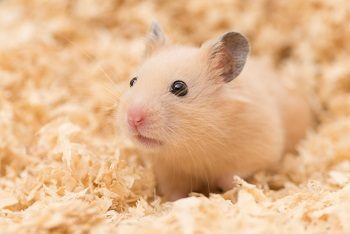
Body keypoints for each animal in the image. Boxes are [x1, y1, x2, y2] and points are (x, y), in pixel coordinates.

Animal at [116, 22, 314, 201]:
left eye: (179, 87)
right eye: (133, 81)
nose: (133, 118)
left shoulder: (258, 151)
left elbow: (233, 177)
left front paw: (233, 195)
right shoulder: (168, 172)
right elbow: (175, 192)